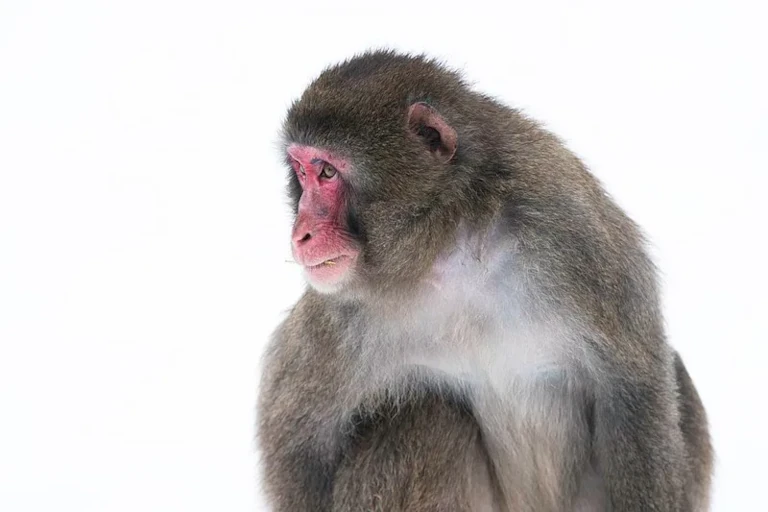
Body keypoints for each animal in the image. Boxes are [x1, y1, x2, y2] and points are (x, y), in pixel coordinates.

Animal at [257, 50, 713, 511]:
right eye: (301, 172)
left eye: (327, 173)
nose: (301, 234)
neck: (452, 237)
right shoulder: (343, 313)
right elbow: (298, 442)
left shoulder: (577, 233)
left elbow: (634, 386)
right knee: (425, 414)